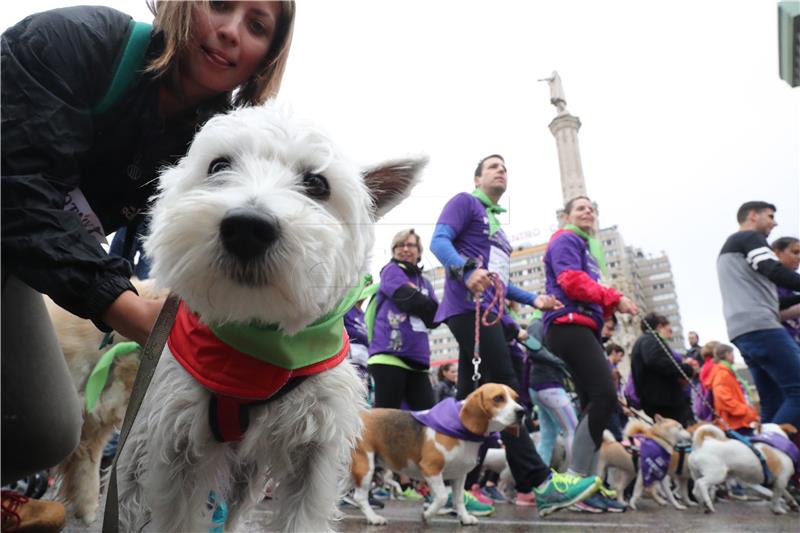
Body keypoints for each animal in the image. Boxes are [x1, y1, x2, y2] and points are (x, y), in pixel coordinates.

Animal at [114, 102, 424, 528]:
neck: (259, 343)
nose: (247, 227)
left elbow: (302, 516)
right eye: (218, 165)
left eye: (317, 184)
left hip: (245, 471)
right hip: (139, 438)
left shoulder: (315, 447)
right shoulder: (177, 439)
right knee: (126, 493)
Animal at [350, 382, 524, 524]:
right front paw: (427, 515)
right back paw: (373, 518)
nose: (522, 411)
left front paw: (464, 518)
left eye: (516, 398)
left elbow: (458, 499)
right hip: (365, 467)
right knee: (359, 497)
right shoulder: (431, 468)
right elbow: (442, 497)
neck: (461, 428)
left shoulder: (459, 475)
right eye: (498, 398)